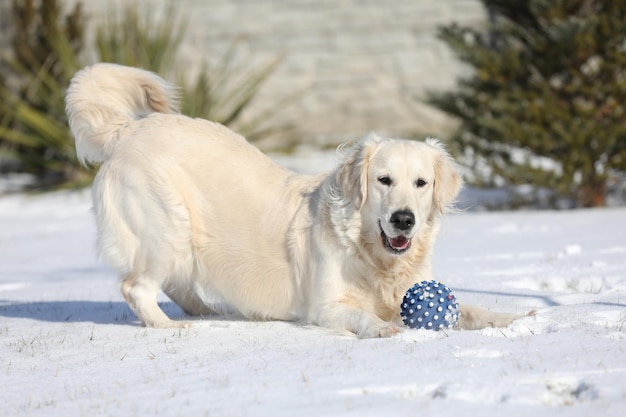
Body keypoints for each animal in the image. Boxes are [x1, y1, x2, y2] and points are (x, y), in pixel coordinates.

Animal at [66, 64, 520, 338]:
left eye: (422, 183)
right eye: (384, 180)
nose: (403, 219)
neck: (373, 256)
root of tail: (128, 130)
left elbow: (470, 308)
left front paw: (512, 317)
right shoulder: (324, 307)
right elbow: (360, 314)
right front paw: (382, 328)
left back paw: (215, 312)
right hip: (167, 227)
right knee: (136, 287)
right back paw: (169, 326)